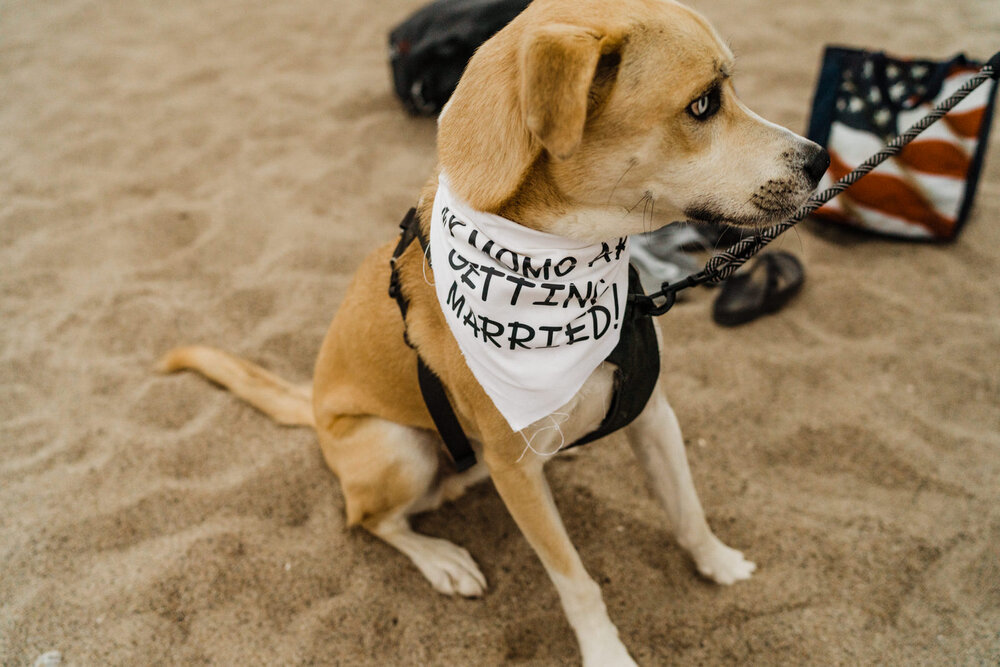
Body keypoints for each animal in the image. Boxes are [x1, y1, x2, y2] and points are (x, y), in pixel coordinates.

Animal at [158, 0, 828, 664]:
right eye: (702, 104)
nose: (821, 159)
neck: (568, 262)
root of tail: (316, 408)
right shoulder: (519, 473)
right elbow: (576, 582)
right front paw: (605, 652)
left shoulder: (654, 414)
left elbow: (687, 509)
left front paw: (719, 563)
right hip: (397, 449)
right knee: (371, 518)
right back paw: (441, 558)